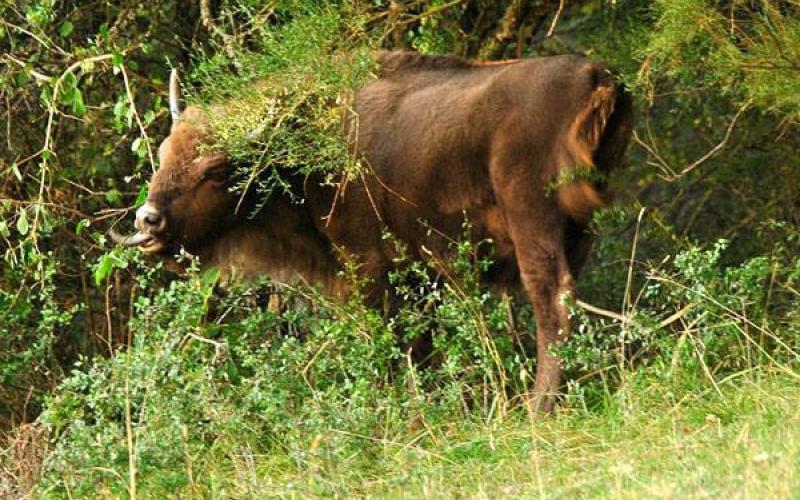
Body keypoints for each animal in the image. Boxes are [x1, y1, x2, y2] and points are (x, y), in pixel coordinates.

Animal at [114, 50, 636, 412]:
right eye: (163, 152)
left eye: (218, 170)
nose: (148, 220)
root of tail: (597, 79)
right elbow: (420, 343)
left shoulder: (369, 266)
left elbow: (393, 342)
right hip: (579, 228)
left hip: (533, 218)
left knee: (551, 299)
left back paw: (538, 407)